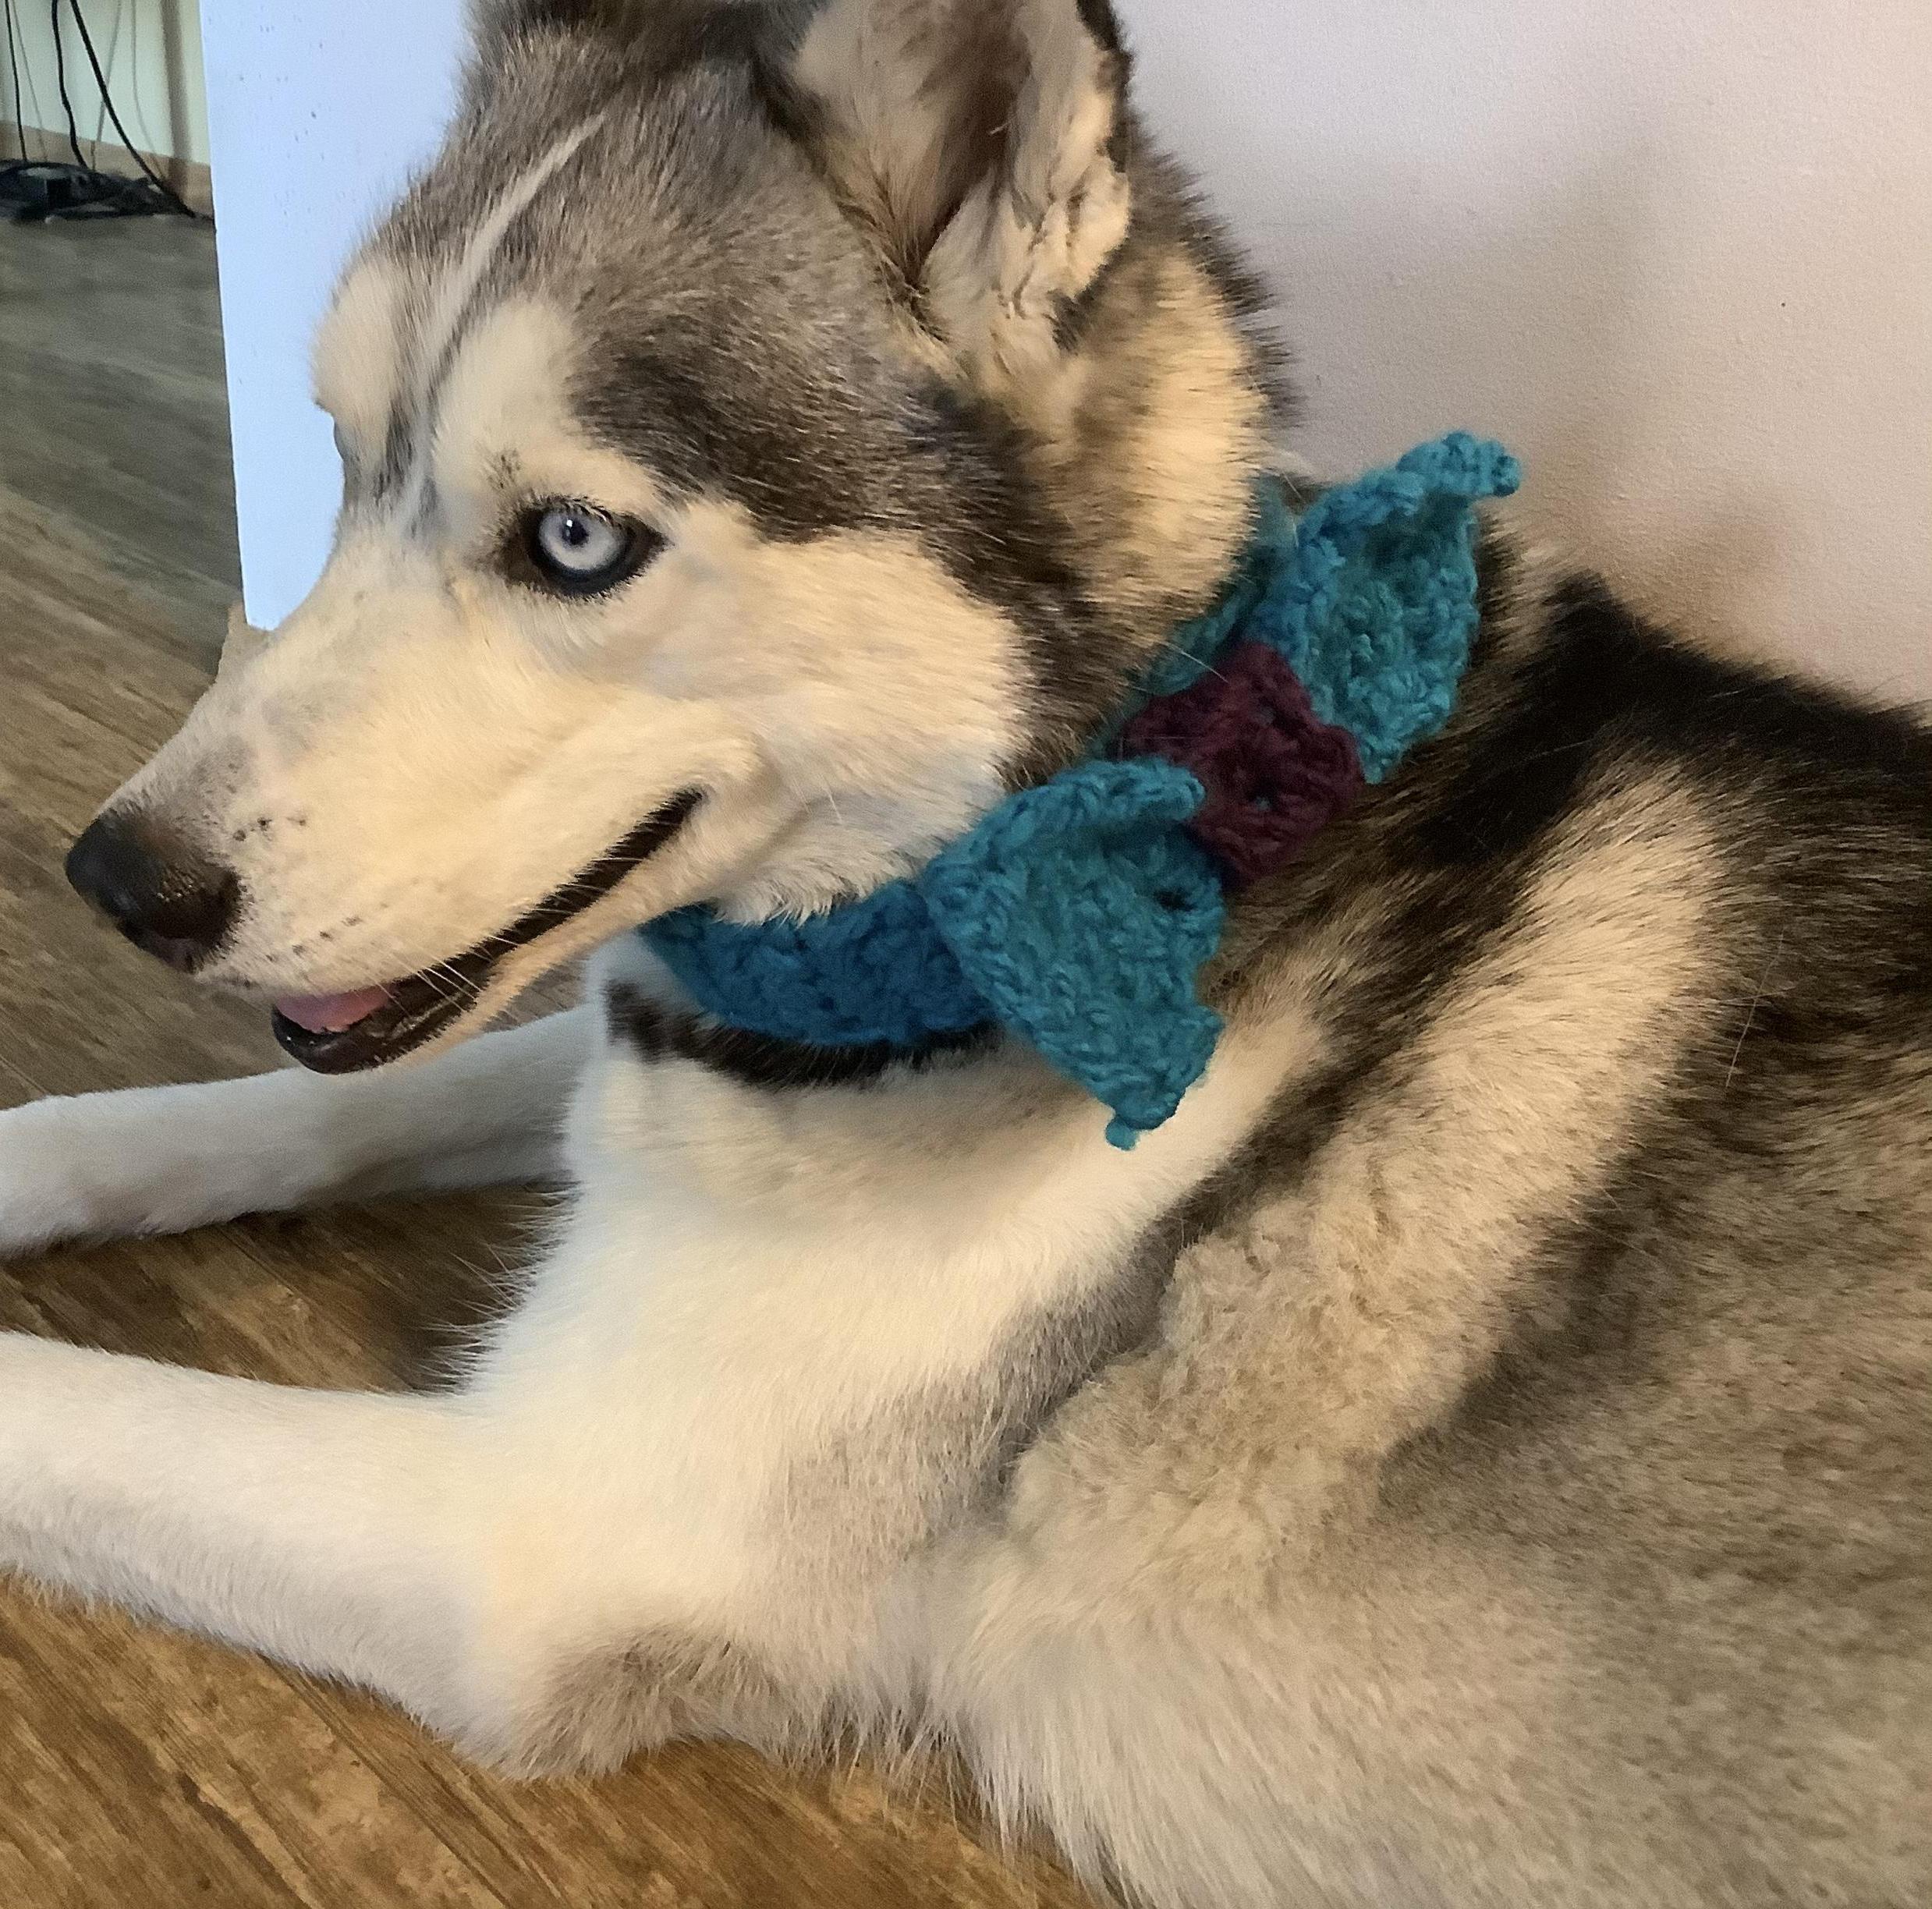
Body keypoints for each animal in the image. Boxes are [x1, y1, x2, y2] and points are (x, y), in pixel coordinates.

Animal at [3, 3, 1932, 1909]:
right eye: (338, 453)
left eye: (572, 538)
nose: (117, 879)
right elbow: (306, 1103)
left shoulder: (524, 1540)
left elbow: (60, 1401)